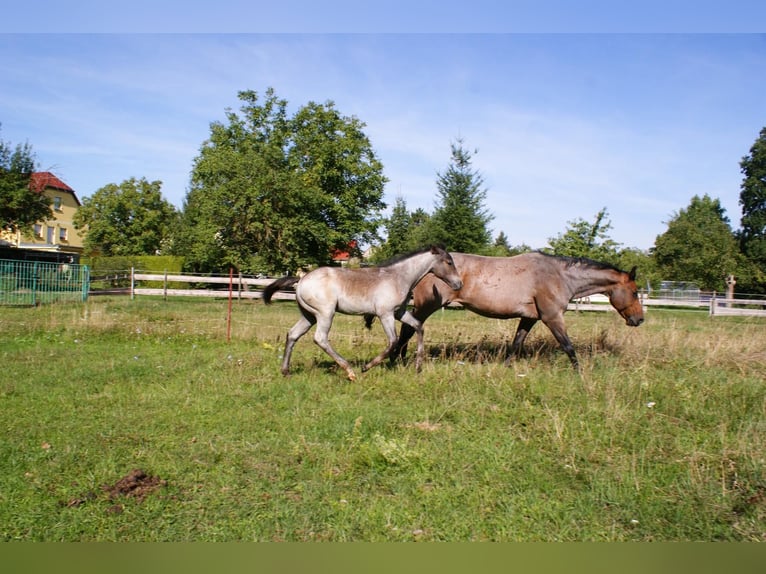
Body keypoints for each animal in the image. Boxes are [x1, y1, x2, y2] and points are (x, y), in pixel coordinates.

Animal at [262, 245, 463, 381]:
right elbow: (393, 341)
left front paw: (418, 367)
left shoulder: (399, 312)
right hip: (325, 313)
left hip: (309, 316)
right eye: (449, 262)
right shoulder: (385, 314)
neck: (398, 277)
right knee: (320, 338)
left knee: (292, 334)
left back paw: (286, 371)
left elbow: (419, 327)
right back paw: (350, 371)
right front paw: (367, 367)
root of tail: (302, 280)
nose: (459, 284)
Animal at [387, 251, 644, 370]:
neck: (558, 276)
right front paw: (580, 375)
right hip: (426, 306)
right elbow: (568, 347)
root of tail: (424, 267)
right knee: (408, 329)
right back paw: (395, 359)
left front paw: (506, 367)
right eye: (634, 292)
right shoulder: (552, 317)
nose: (639, 319)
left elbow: (516, 344)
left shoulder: (529, 318)